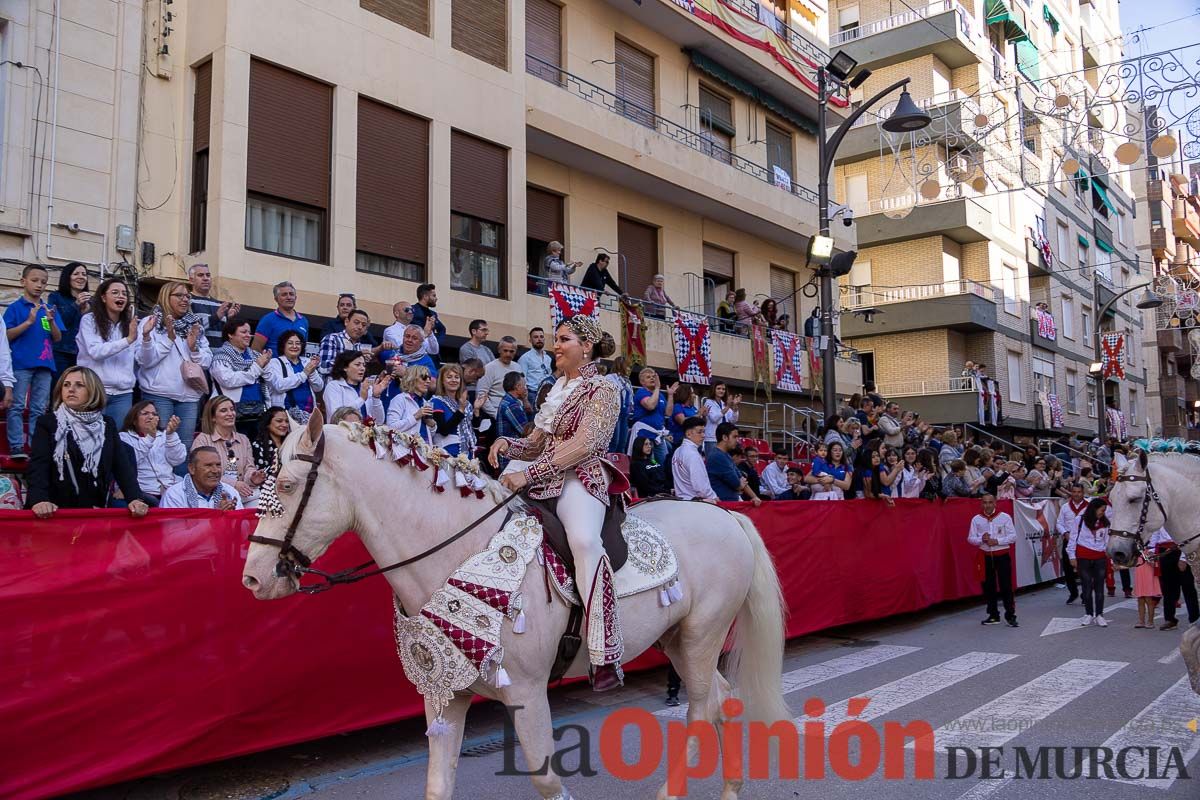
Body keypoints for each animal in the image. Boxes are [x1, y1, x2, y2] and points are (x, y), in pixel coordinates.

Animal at [240, 412, 792, 800]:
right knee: (723, 699)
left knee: (701, 708)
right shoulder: (444, 695)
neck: (457, 549)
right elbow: (438, 784)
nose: (253, 578)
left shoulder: (527, 692)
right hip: (676, 639)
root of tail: (724, 516)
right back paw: (731, 788)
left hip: (702, 635)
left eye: (286, 486)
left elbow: (546, 779)